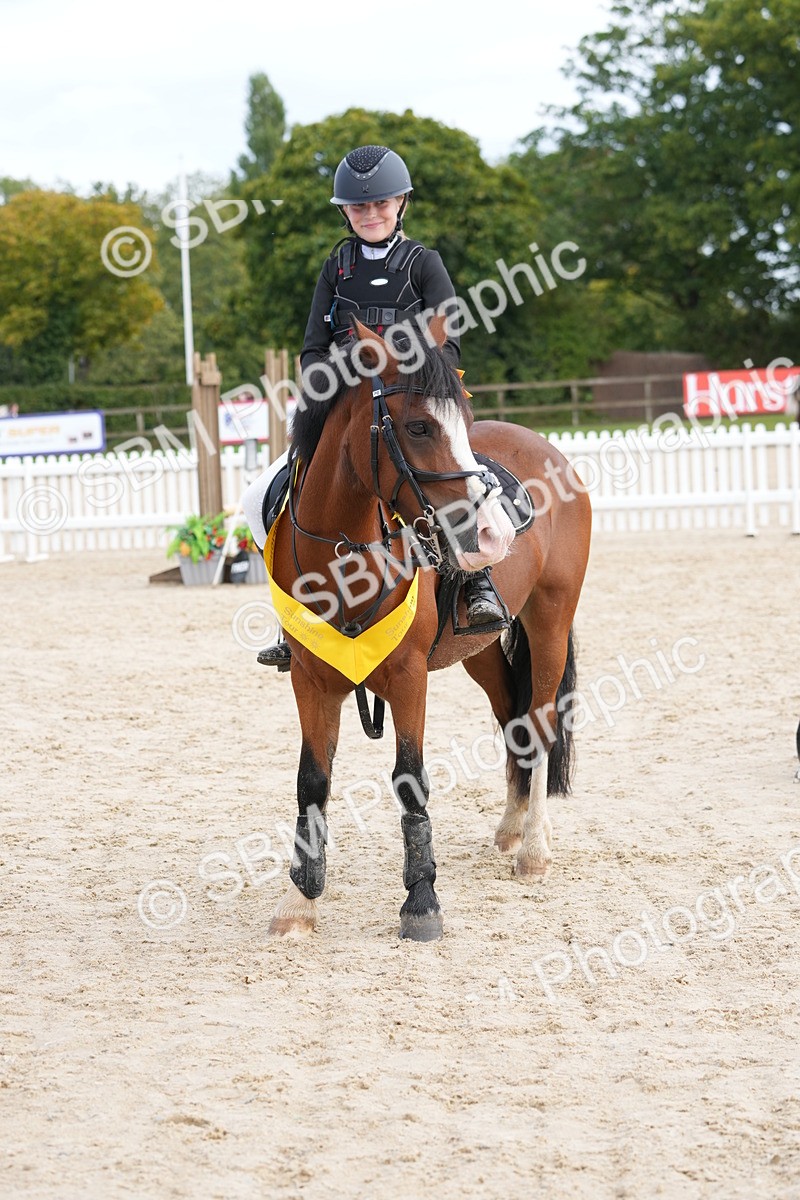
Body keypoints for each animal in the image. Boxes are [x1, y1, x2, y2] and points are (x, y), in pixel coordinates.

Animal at [264, 316, 592, 941]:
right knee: (513, 721)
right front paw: (299, 902)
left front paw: (421, 901)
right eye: (418, 426)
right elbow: (311, 781)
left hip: (549, 622)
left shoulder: (409, 676)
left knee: (539, 724)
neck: (347, 557)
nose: (492, 536)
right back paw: (512, 829)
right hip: (479, 651)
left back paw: (534, 849)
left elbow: (410, 779)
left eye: (462, 418)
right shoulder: (310, 680)